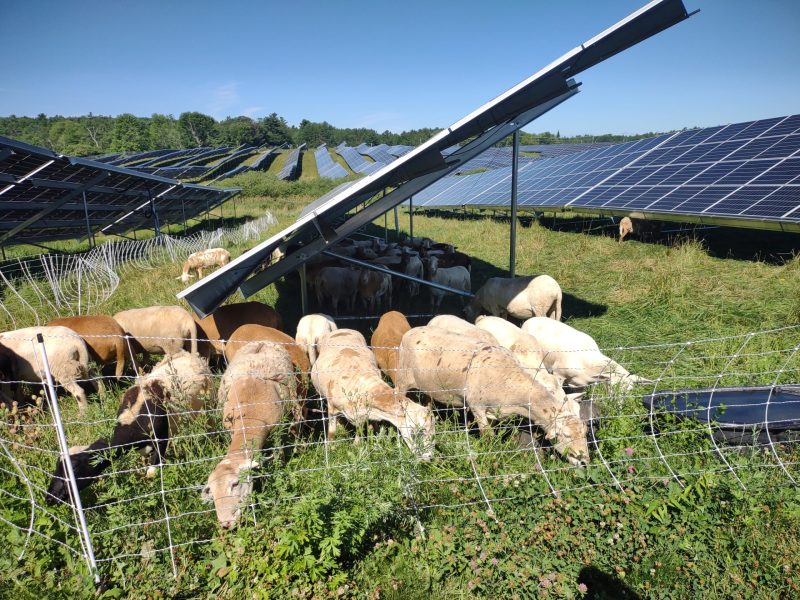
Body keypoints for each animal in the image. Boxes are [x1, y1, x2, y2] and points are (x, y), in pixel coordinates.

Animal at [203, 340, 296, 528]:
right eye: (212, 492)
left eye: (235, 483)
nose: (226, 523)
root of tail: (262, 341)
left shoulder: (278, 431)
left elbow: (278, 456)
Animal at [314, 330, 438, 458]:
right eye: (421, 431)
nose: (429, 457)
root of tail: (342, 330)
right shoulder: (332, 408)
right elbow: (331, 433)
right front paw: (330, 449)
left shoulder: (362, 415)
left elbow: (360, 431)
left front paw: (359, 445)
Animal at [394, 326, 588, 466]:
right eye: (566, 436)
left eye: (585, 433)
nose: (585, 462)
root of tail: (412, 330)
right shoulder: (477, 408)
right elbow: (488, 437)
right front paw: (489, 455)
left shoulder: (495, 412)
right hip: (403, 377)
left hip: (427, 385)